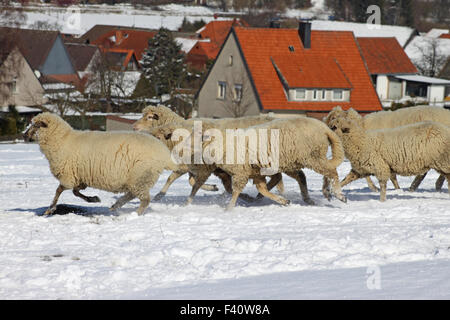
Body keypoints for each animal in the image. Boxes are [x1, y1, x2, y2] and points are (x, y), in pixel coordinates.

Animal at [23, 112, 177, 215]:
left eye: (35, 125)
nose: (24, 135)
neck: (61, 140)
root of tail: (164, 154)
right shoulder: (80, 177)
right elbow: (75, 192)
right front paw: (94, 199)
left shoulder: (68, 176)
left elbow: (59, 191)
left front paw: (50, 209)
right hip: (138, 179)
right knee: (133, 194)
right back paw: (115, 205)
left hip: (142, 175)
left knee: (144, 199)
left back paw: (135, 214)